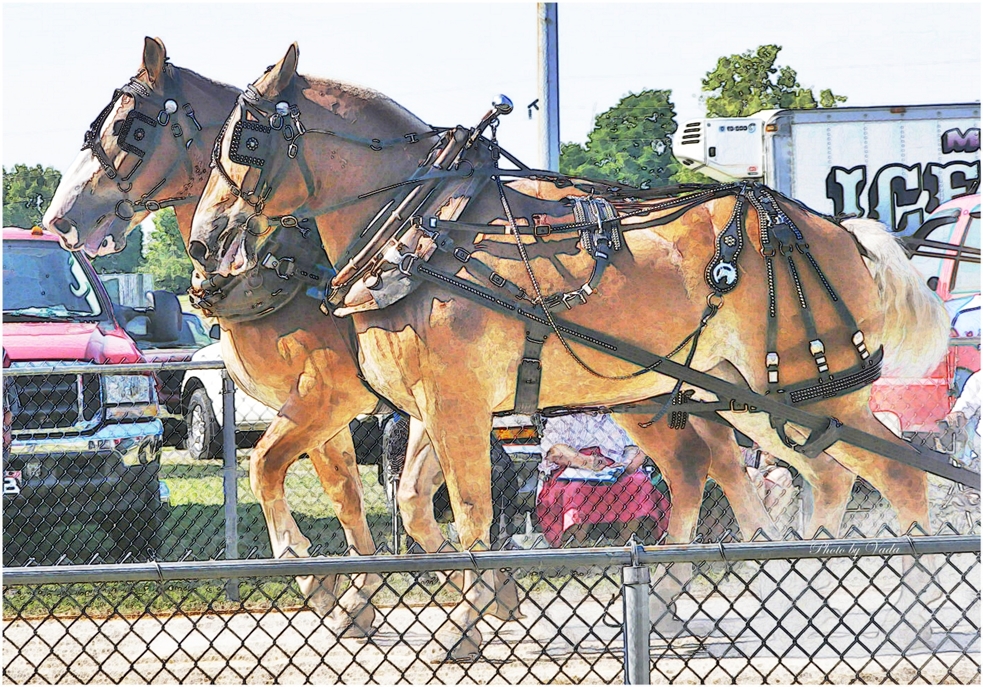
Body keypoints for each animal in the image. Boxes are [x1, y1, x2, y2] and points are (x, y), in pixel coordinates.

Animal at [42, 38, 793, 635]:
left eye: (131, 128)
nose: (60, 218)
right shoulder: (333, 407)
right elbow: (348, 491)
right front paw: (366, 597)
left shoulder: (333, 394)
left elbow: (272, 468)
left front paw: (331, 584)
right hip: (649, 392)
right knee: (705, 464)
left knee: (727, 462)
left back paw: (756, 570)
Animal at [188, 44, 952, 658]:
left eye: (244, 142)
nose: (202, 240)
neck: (421, 227)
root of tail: (842, 232)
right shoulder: (432, 405)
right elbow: (410, 501)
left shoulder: (442, 400)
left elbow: (466, 512)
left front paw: (455, 622)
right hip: (760, 398)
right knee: (815, 476)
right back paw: (795, 590)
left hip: (817, 391)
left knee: (897, 475)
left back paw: (914, 602)